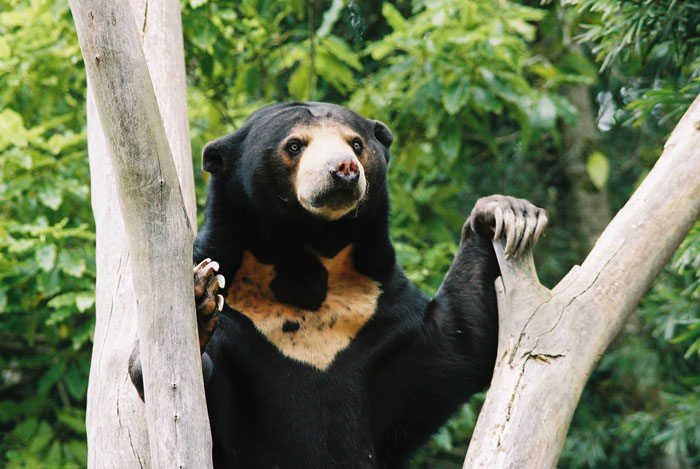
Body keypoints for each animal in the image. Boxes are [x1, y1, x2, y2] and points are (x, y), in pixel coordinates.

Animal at [129, 101, 547, 468]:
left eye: (357, 144)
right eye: (295, 145)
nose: (344, 168)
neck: (308, 262)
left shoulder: (381, 315)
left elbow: (457, 343)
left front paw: (506, 213)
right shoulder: (239, 323)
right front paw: (200, 298)